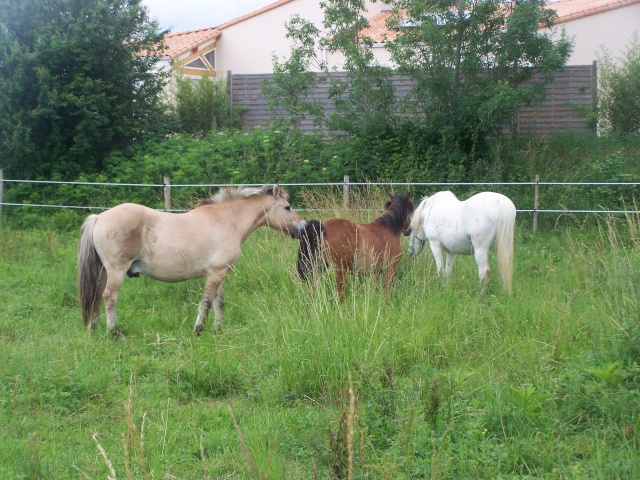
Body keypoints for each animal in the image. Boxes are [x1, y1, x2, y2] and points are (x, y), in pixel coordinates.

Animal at [77, 186, 308, 336]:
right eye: (287, 207)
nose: (303, 227)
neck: (227, 221)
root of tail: (99, 218)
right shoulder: (215, 273)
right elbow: (205, 302)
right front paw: (199, 329)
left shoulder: (219, 272)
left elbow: (218, 302)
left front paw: (218, 329)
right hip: (116, 271)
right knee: (109, 297)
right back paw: (114, 332)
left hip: (103, 271)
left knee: (96, 296)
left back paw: (95, 328)